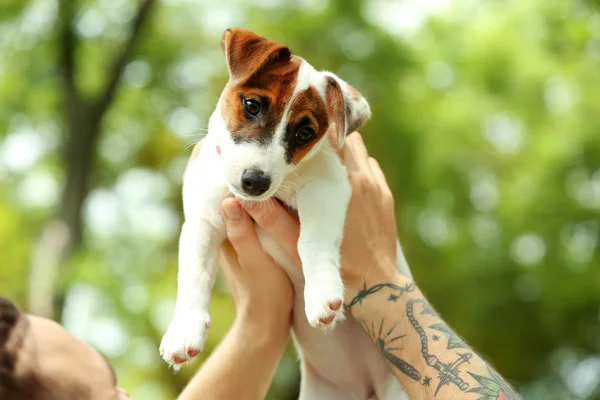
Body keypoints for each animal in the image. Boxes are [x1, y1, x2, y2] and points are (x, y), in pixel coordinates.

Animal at [159, 26, 412, 398]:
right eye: (251, 105)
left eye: (304, 133)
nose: (255, 182)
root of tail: (365, 384)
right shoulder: (202, 220)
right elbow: (194, 274)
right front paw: (184, 331)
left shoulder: (326, 186)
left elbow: (311, 243)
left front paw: (321, 293)